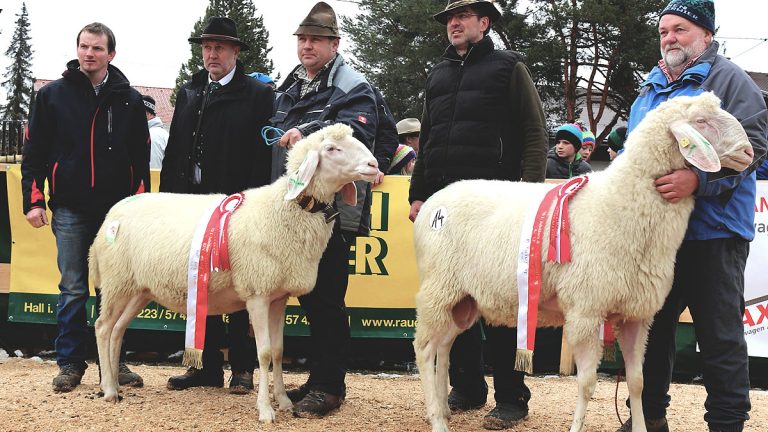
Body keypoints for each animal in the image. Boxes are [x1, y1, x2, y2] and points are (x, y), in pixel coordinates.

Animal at [91, 124, 378, 422]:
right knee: (103, 327)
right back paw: (109, 389)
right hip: (117, 281)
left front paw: (284, 401)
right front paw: (266, 410)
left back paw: (113, 384)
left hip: (138, 288)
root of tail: (113, 213)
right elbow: (264, 353)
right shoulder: (258, 293)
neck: (285, 209)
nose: (374, 165)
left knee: (117, 330)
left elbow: (278, 351)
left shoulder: (278, 297)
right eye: (332, 148)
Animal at [412, 93, 752, 432]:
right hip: (438, 289)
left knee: (443, 347)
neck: (621, 203)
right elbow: (587, 383)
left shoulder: (636, 315)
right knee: (426, 349)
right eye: (702, 121)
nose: (749, 151)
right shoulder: (586, 310)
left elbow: (637, 382)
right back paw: (436, 419)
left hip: (464, 301)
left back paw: (443, 409)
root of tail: (431, 203)